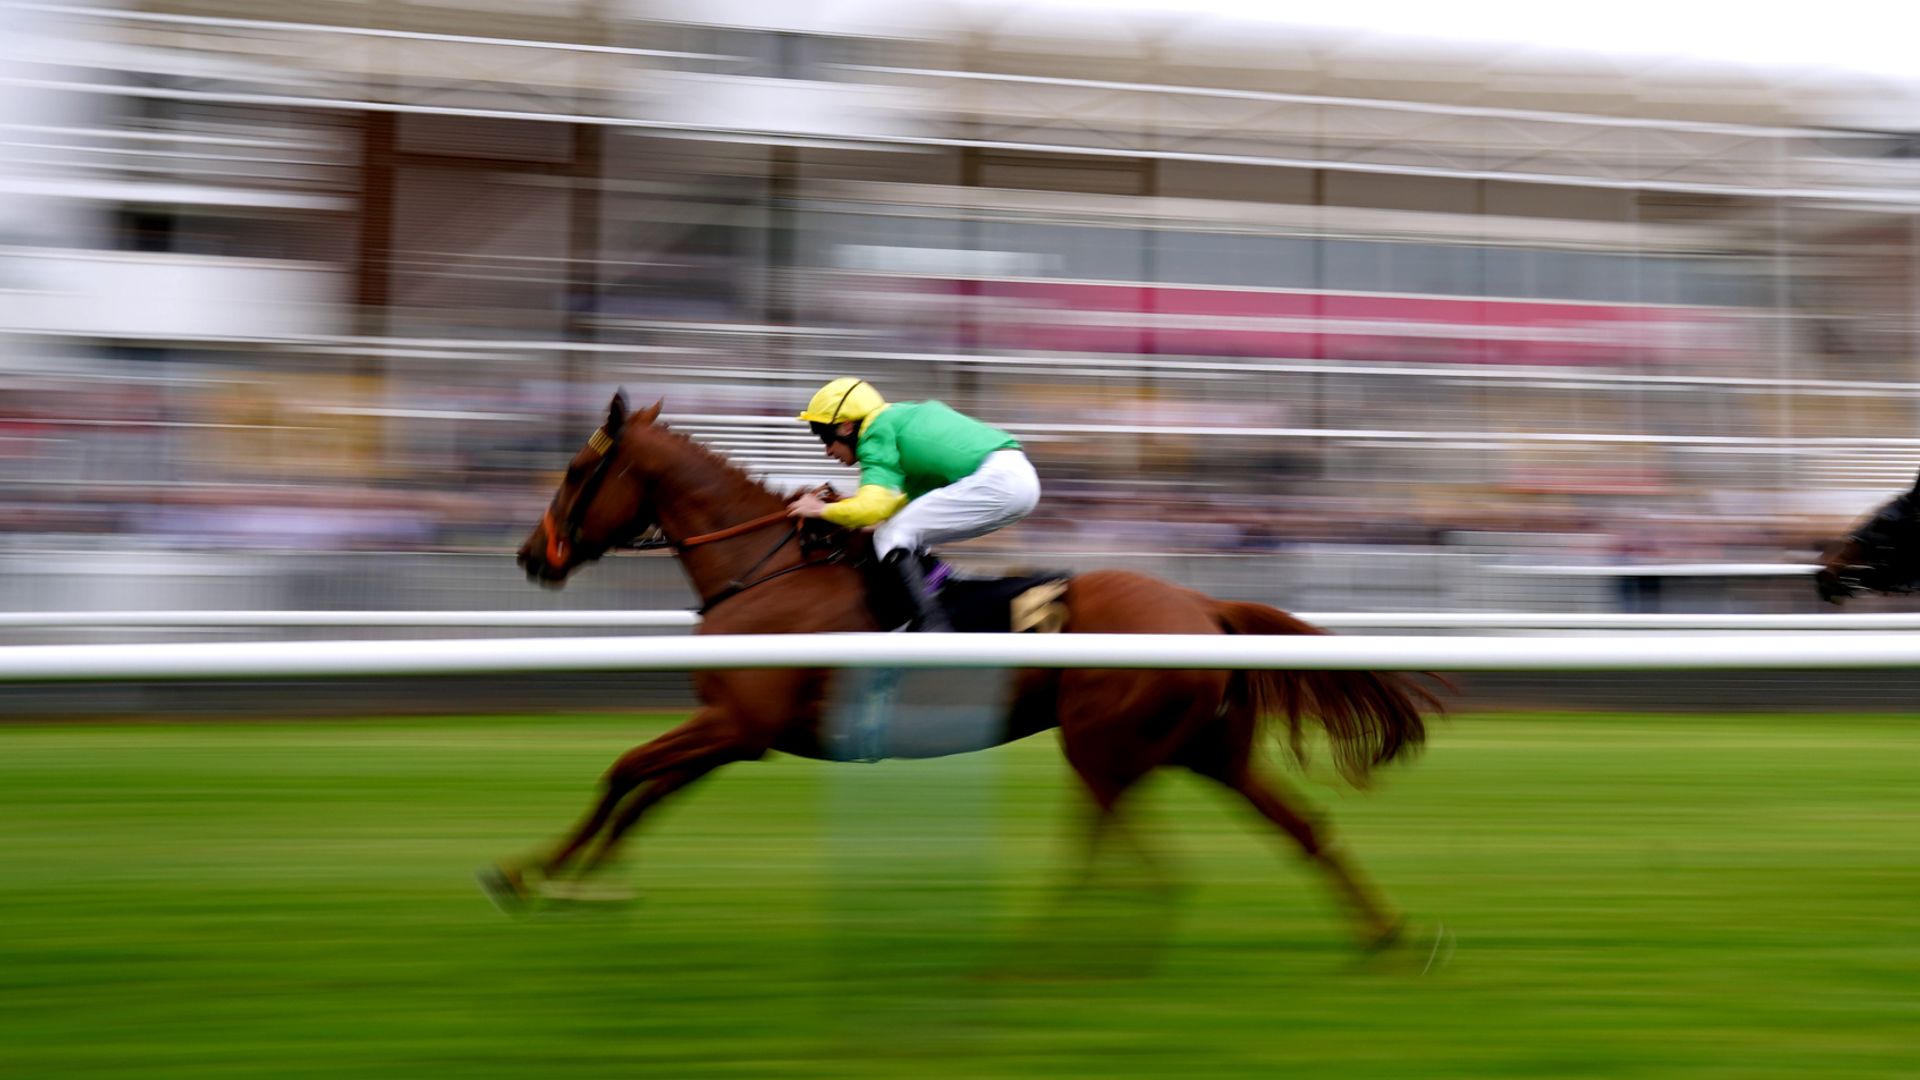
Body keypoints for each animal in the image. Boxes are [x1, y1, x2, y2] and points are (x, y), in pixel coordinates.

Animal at [487, 390, 1443, 945]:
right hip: (1205, 749)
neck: (762, 569)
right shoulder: (733, 733)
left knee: (1127, 852)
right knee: (1299, 828)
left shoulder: (736, 724)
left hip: (1105, 745)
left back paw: (1034, 947)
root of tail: (1205, 608)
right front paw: (578, 880)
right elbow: (642, 792)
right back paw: (1389, 936)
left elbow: (623, 770)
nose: (532, 556)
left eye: (575, 469)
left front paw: (528, 873)